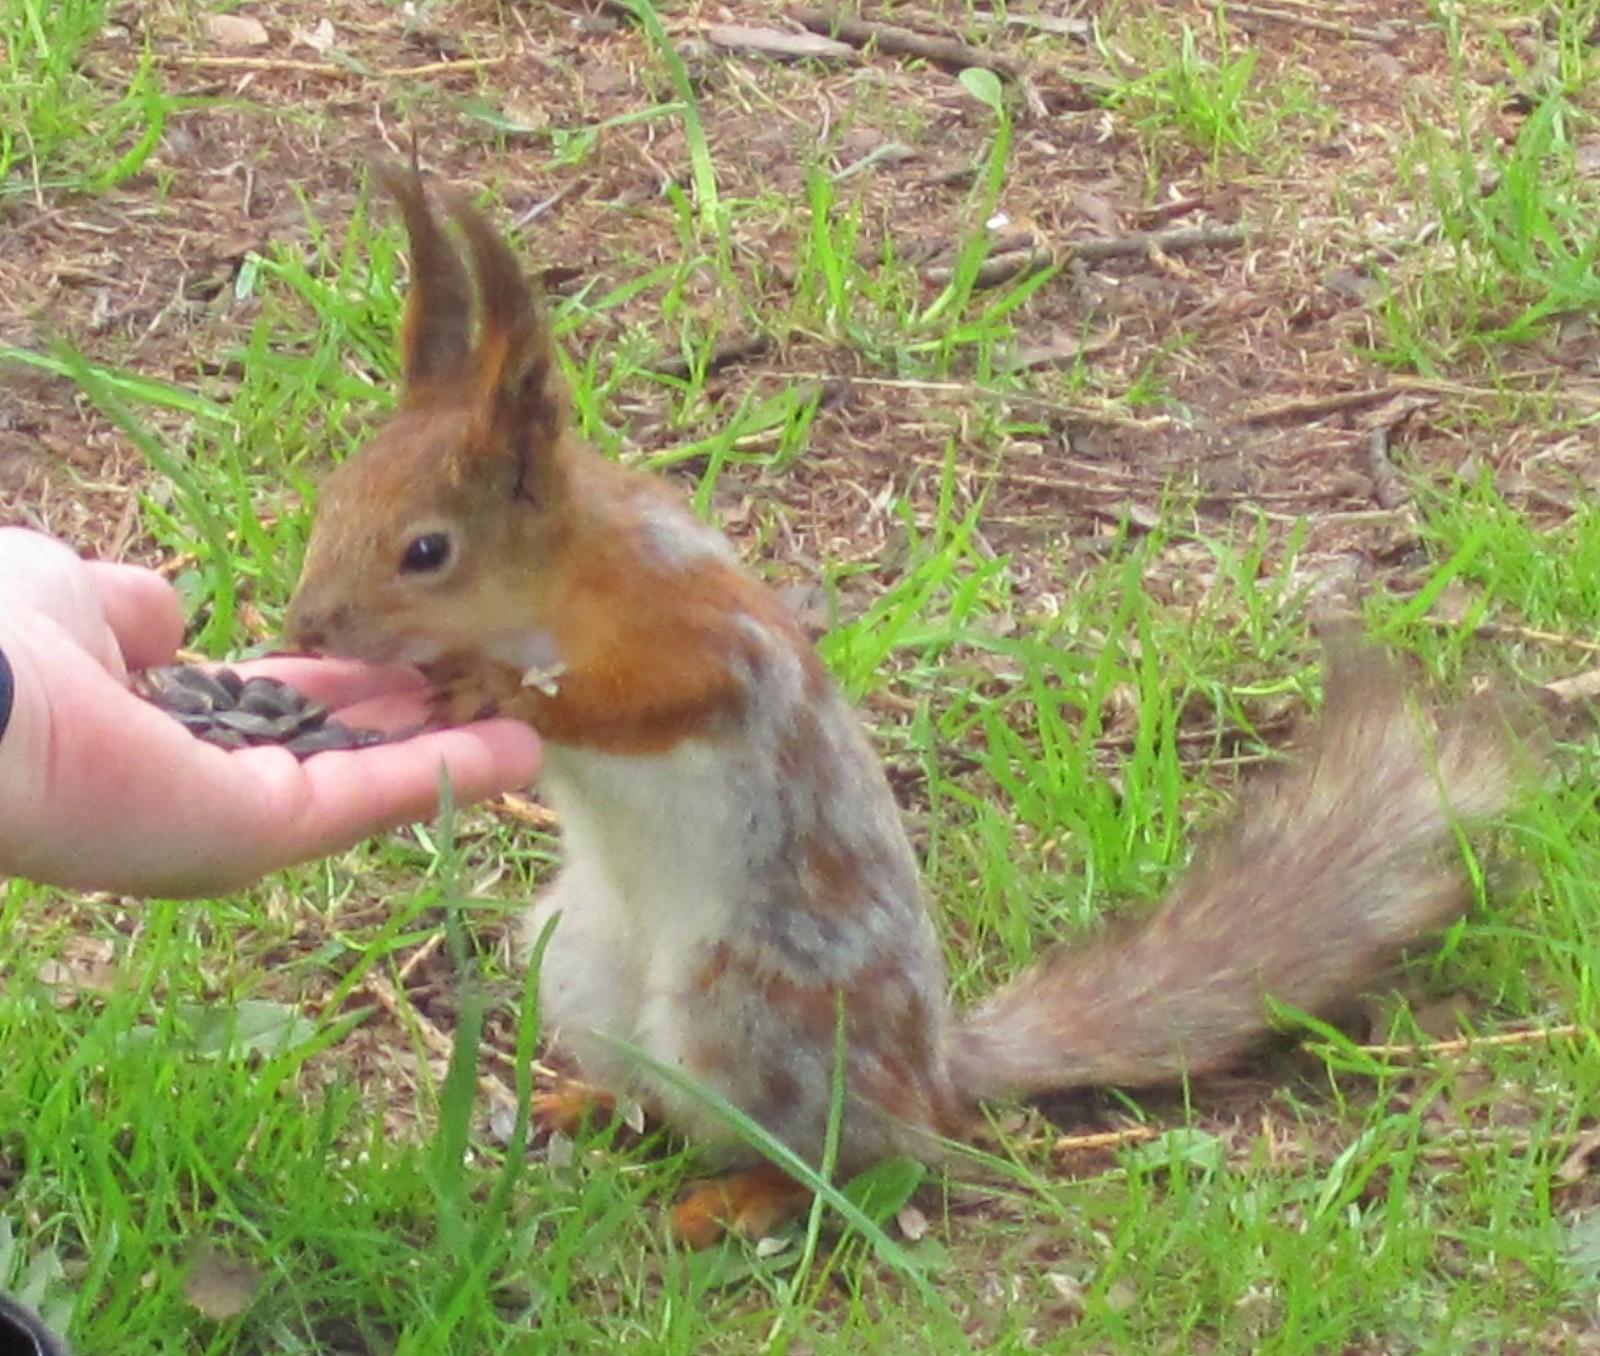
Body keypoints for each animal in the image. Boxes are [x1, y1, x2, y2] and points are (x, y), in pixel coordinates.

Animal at [284, 171, 1523, 1247]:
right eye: (332, 496)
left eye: (427, 551)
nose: (304, 626)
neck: (555, 589)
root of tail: (927, 1069)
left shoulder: (704, 638)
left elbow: (650, 700)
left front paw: (497, 691)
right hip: (582, 968)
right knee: (666, 1101)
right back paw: (581, 1106)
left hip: (750, 1004)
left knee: (850, 1155)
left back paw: (737, 1201)